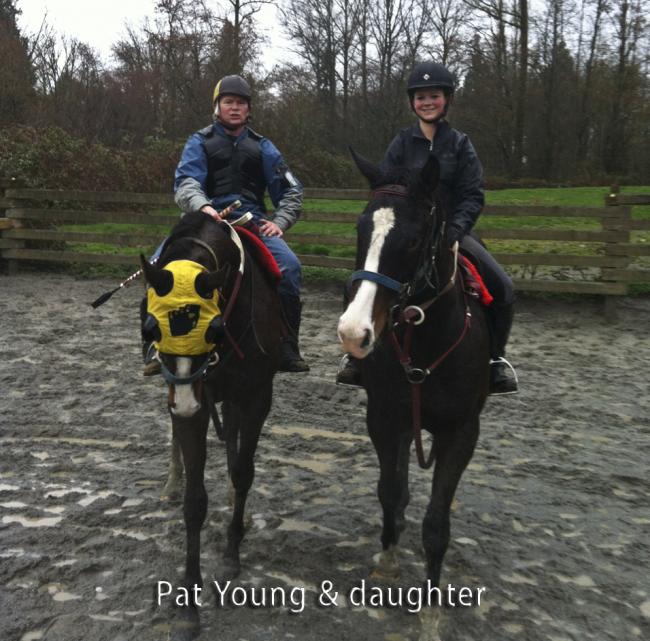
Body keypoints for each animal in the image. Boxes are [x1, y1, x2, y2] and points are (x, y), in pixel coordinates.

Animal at [139, 211, 280, 636]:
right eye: (151, 327)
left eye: (213, 328)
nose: (185, 403)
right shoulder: (192, 400)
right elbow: (194, 500)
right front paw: (189, 602)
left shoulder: (256, 396)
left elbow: (244, 471)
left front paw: (232, 550)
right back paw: (172, 482)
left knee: (234, 446)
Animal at [336, 151, 488, 640]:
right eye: (361, 227)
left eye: (416, 237)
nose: (354, 332)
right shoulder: (386, 419)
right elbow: (390, 491)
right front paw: (387, 561)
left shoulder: (462, 432)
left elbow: (437, 521)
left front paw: (432, 608)